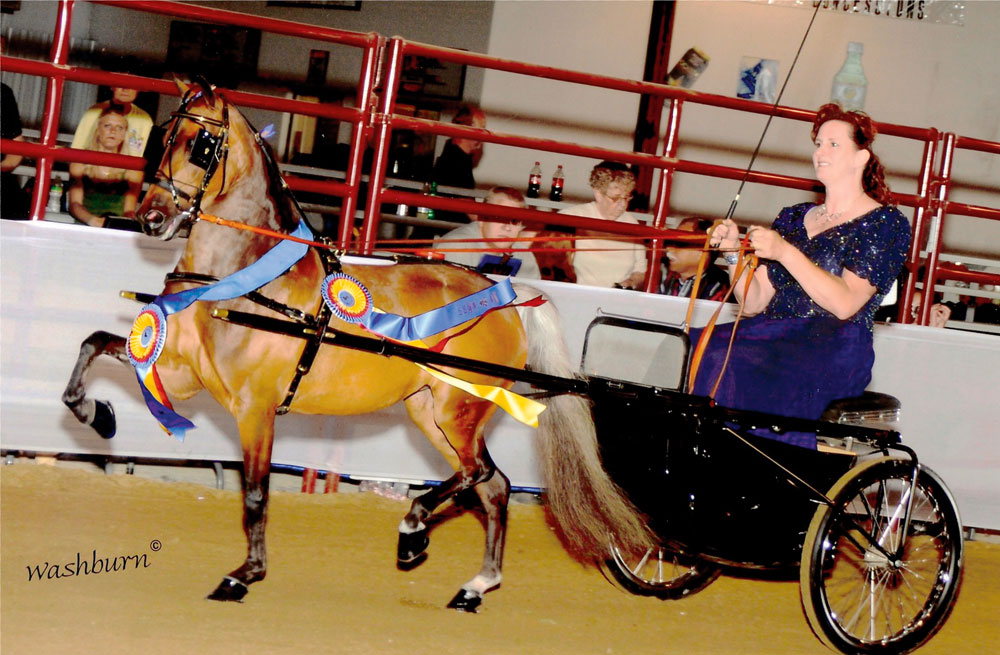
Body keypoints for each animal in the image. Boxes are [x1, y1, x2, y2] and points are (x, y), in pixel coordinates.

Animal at [64, 79, 656, 612]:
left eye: (202, 145)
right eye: (161, 137)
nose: (152, 218)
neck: (241, 280)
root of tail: (506, 296)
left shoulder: (255, 409)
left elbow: (255, 493)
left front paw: (243, 575)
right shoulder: (182, 376)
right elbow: (93, 346)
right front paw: (99, 415)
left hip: (458, 409)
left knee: (478, 475)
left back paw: (414, 528)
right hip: (431, 416)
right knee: (494, 485)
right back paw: (473, 587)